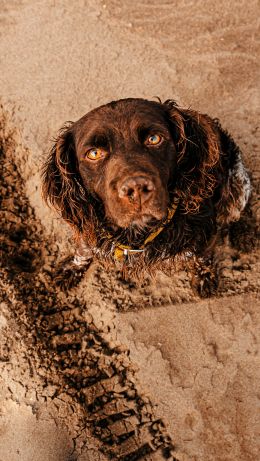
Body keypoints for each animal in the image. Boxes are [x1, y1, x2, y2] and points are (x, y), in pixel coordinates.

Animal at [41, 99, 251, 296]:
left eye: (154, 138)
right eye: (94, 153)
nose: (136, 188)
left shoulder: (205, 230)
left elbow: (202, 257)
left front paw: (204, 278)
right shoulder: (88, 227)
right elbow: (83, 250)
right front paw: (71, 269)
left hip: (238, 185)